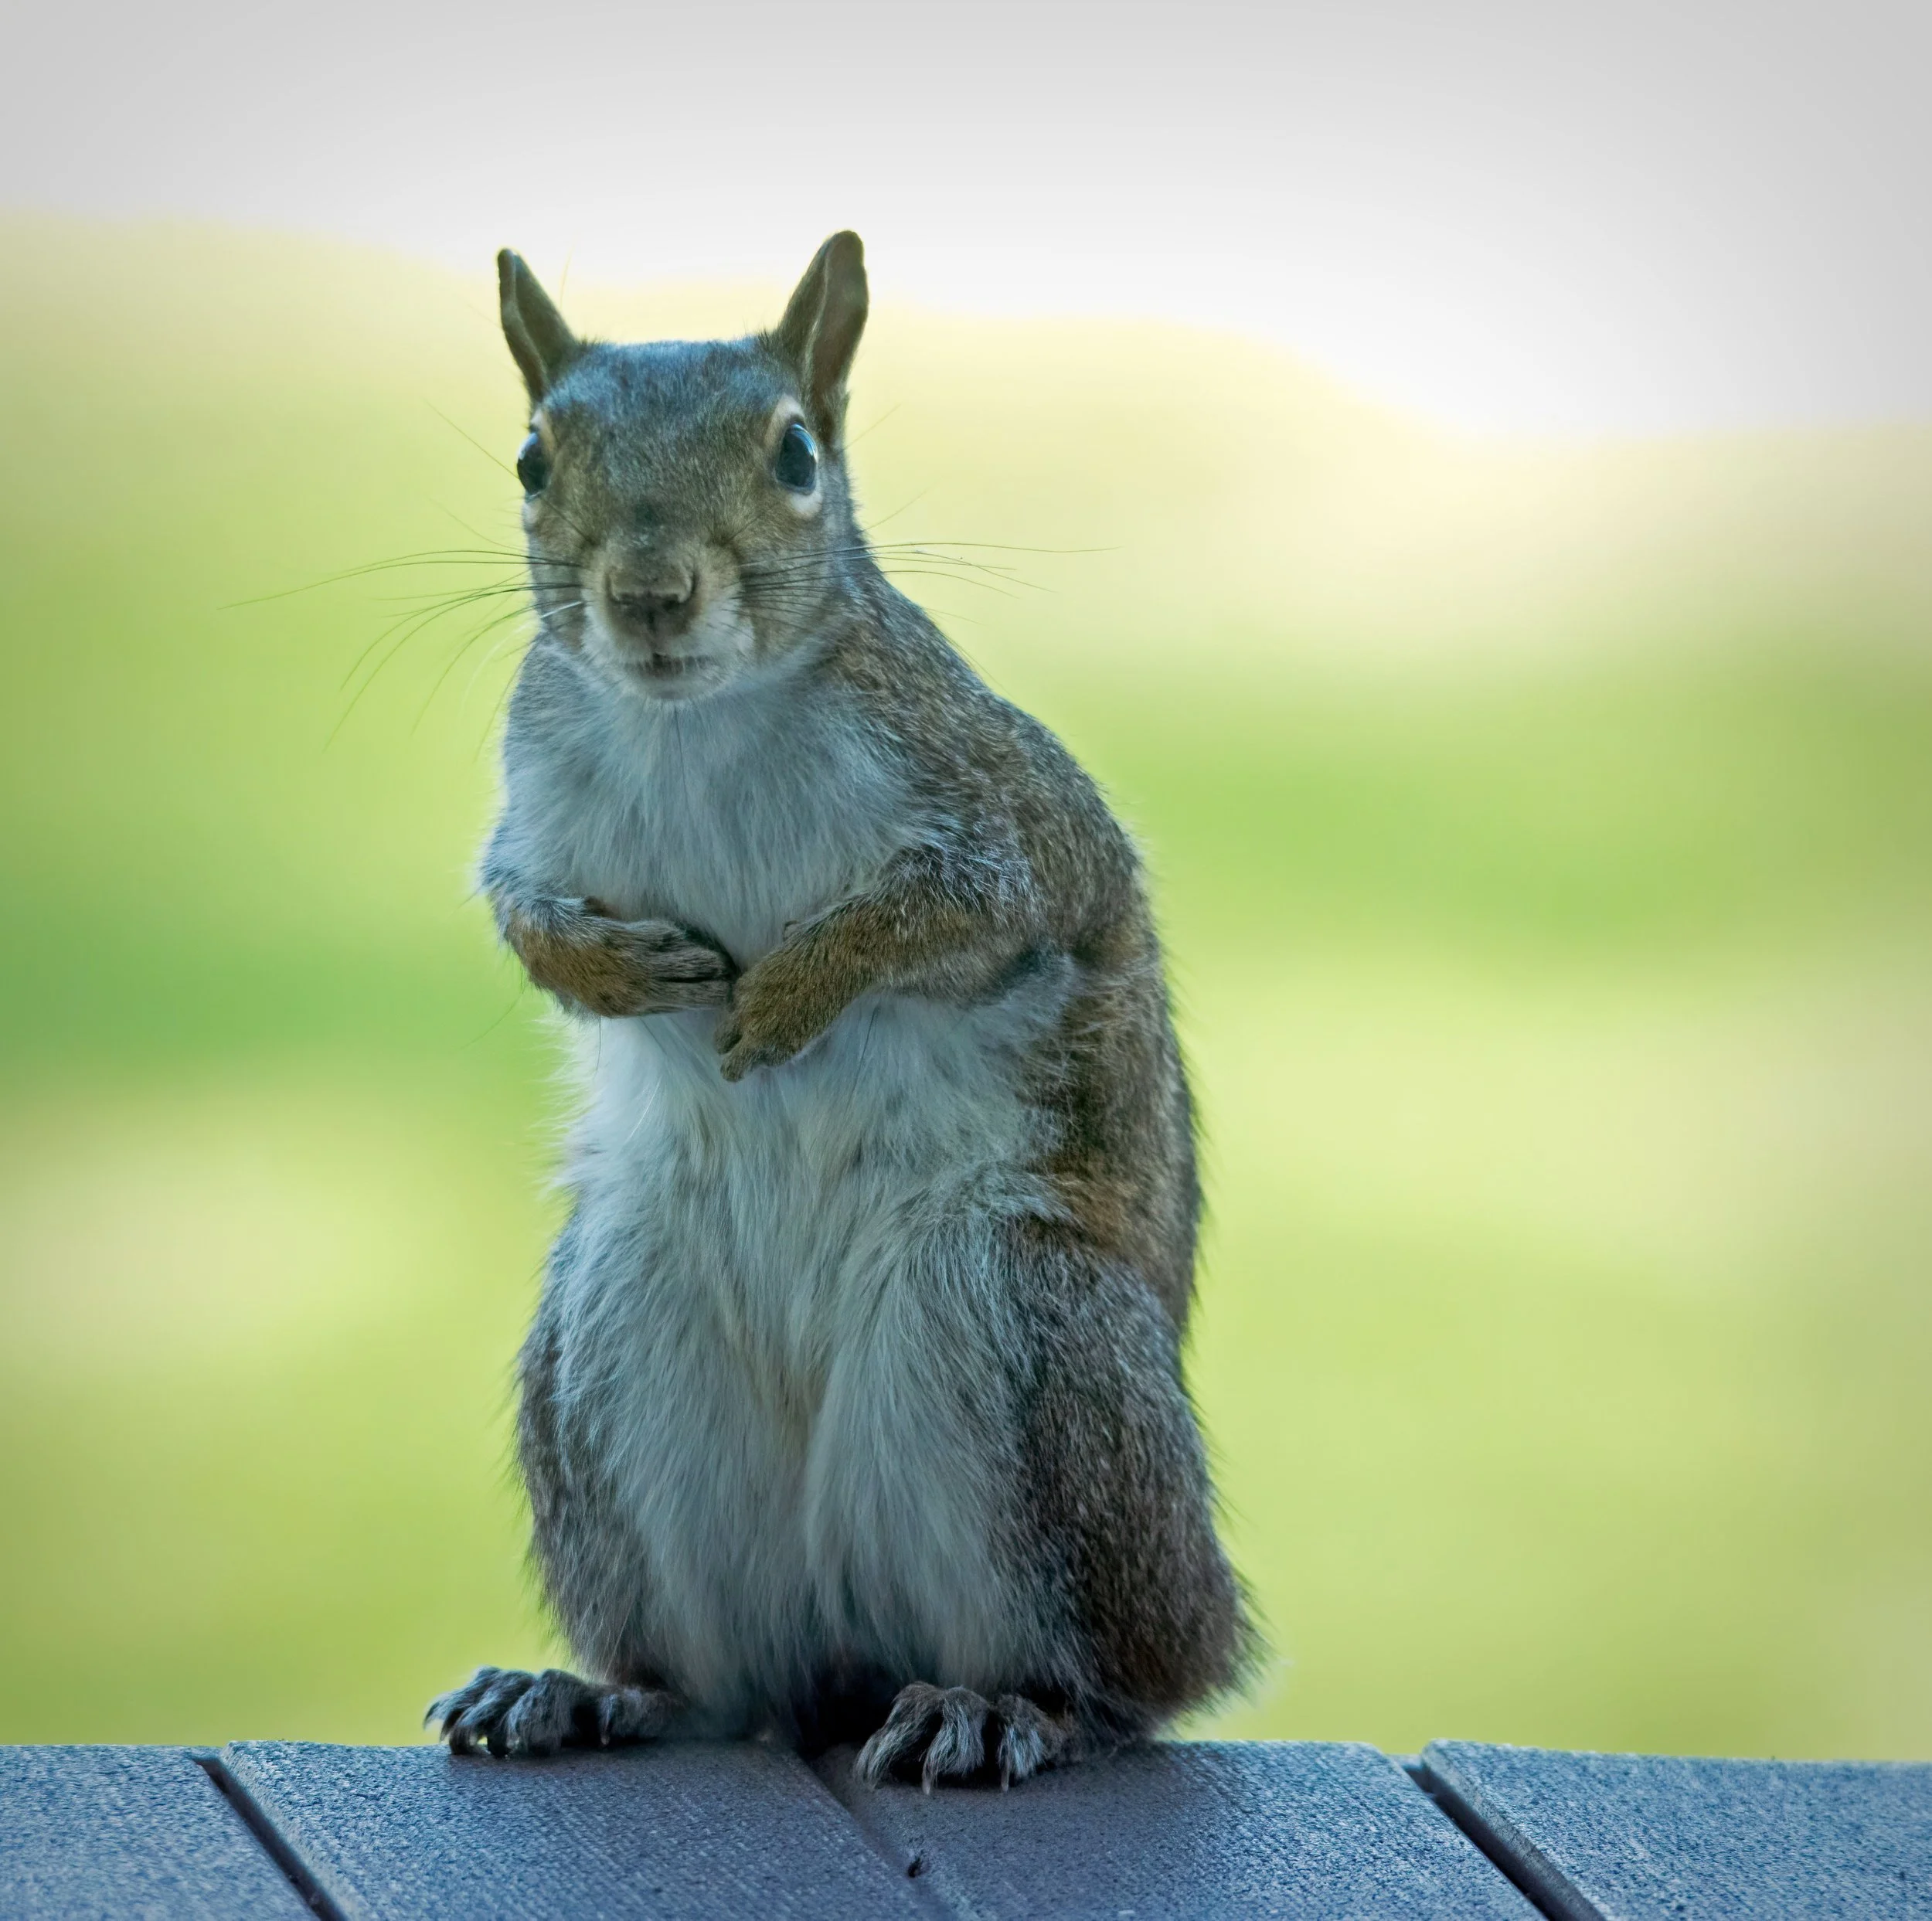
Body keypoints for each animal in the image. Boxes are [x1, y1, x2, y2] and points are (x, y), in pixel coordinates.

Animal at [428, 233, 1252, 1789]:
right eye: (529, 458)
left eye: (798, 453)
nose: (651, 592)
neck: (694, 727)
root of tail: (846, 1654)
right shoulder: (532, 814)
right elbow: (516, 912)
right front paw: (615, 971)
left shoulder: (1008, 819)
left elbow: (942, 915)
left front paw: (789, 994)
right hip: (614, 1339)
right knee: (714, 1683)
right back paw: (590, 1692)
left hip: (1021, 1334)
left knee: (1118, 1689)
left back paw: (1004, 1708)